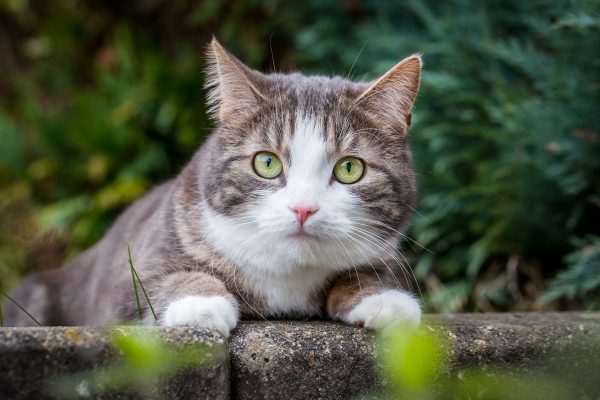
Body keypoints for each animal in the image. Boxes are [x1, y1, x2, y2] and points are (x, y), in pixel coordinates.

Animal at [5, 39, 426, 336]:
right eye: (267, 163)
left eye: (350, 168)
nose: (303, 208)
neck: (285, 277)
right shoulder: (128, 277)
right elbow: (156, 282)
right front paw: (201, 304)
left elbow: (367, 273)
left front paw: (386, 300)